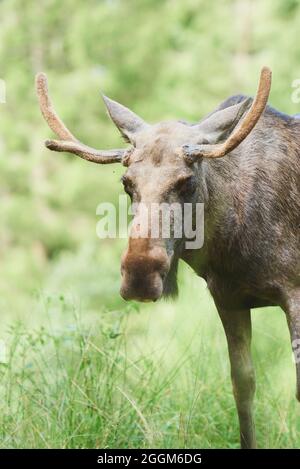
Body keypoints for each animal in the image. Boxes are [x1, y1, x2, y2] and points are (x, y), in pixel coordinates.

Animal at [35, 67, 300, 448]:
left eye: (187, 181)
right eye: (126, 182)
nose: (140, 274)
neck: (234, 243)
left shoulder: (293, 290)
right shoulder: (228, 298)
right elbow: (243, 386)